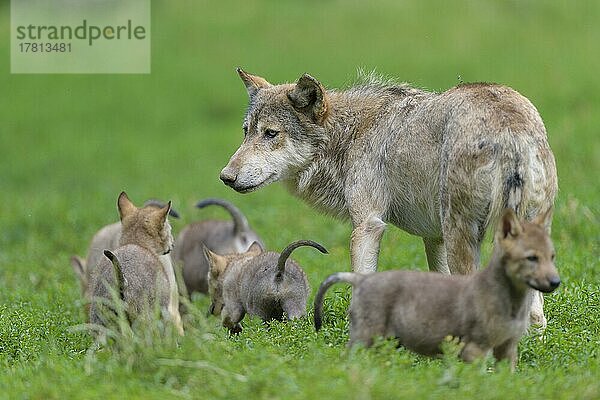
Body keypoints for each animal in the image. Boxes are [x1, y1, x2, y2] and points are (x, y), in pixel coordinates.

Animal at [220, 68, 556, 324]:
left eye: (271, 134)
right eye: (246, 131)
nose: (225, 177)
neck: (349, 135)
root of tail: (509, 129)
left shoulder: (368, 225)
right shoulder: (433, 237)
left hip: (463, 236)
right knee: (537, 317)